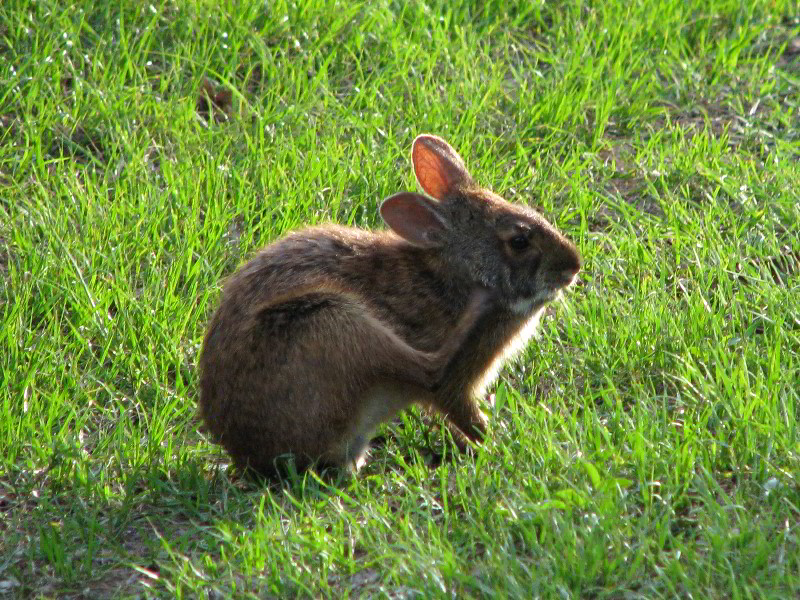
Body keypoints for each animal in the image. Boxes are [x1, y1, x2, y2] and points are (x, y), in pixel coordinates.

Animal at [196, 134, 580, 476]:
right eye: (519, 241)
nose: (573, 266)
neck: (458, 273)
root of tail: (247, 453)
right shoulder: (458, 386)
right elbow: (457, 405)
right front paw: (495, 443)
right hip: (332, 323)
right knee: (429, 370)